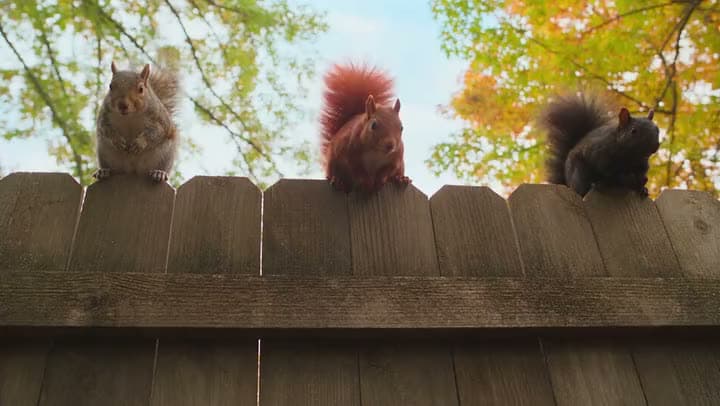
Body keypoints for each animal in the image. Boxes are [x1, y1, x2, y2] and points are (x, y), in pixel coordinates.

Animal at [320, 63, 410, 193]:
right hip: (333, 163)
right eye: (373, 125)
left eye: (401, 127)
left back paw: (401, 179)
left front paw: (379, 180)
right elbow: (357, 169)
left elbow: (387, 170)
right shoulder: (350, 152)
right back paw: (337, 181)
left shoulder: (395, 159)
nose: (390, 145)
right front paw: (366, 182)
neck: (376, 152)